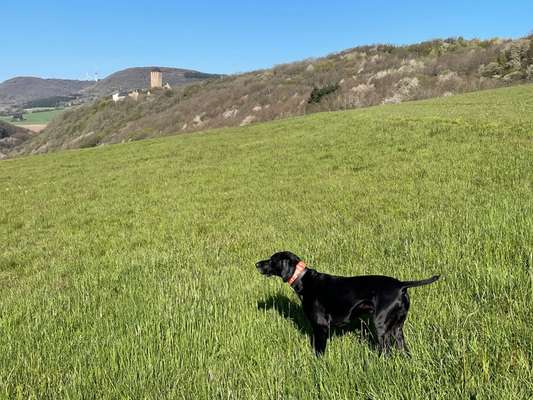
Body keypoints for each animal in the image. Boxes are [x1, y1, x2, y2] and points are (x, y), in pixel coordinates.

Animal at [256, 252, 438, 354]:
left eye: (272, 260)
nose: (256, 264)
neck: (304, 279)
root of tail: (401, 285)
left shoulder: (321, 326)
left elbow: (319, 351)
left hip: (381, 326)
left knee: (386, 351)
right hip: (398, 328)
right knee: (403, 349)